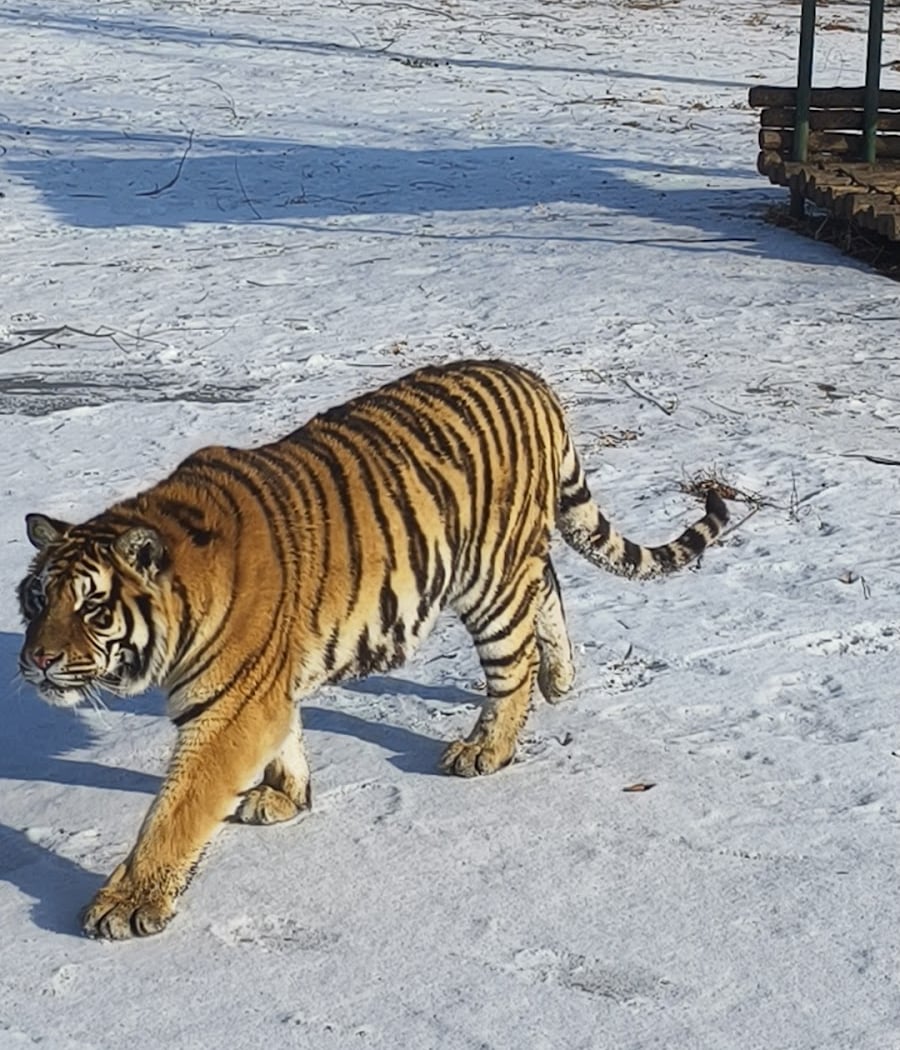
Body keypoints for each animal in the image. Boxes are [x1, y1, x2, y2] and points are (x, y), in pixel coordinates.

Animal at [17, 358, 727, 940]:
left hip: (489, 580)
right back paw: (561, 679)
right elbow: (287, 739)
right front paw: (286, 797)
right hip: (514, 562)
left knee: (513, 660)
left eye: (93, 609)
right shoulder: (265, 689)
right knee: (549, 585)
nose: (37, 661)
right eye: (36, 600)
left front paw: (127, 903)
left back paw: (487, 748)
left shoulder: (228, 709)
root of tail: (529, 378)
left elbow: (175, 811)